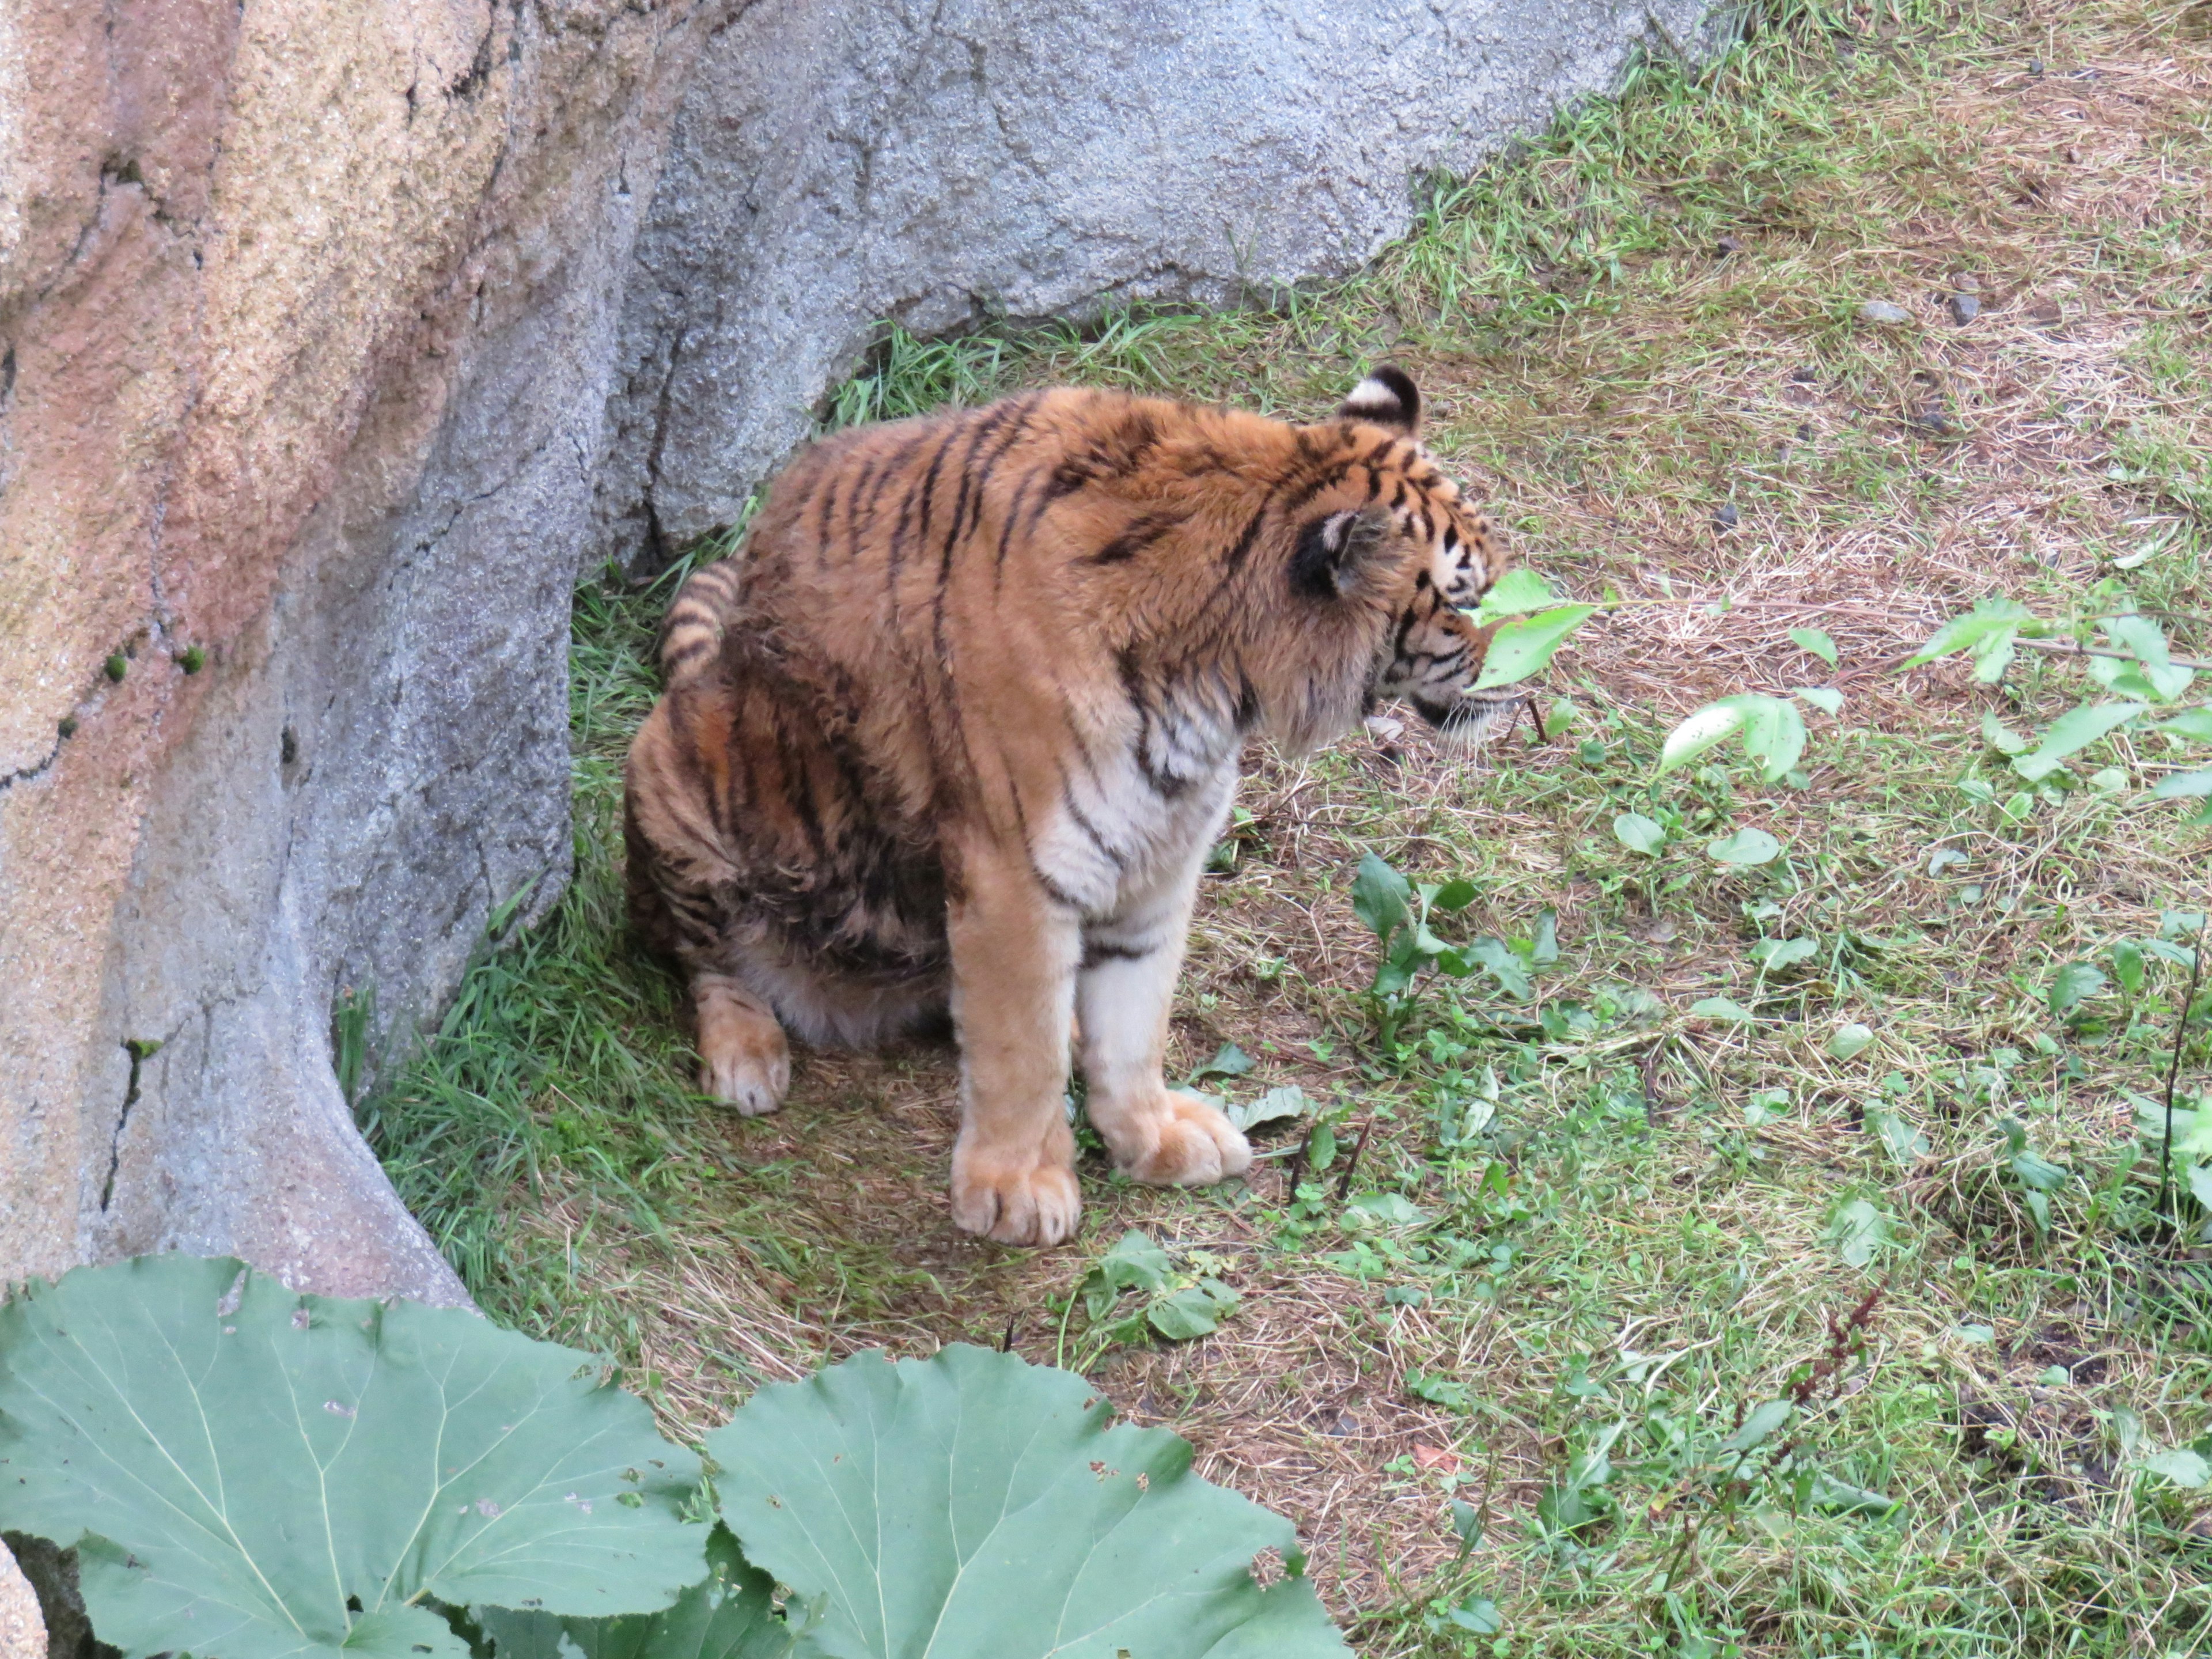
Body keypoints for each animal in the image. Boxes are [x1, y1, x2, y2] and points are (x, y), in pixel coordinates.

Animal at [632, 362, 1513, 1247]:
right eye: (1464, 603)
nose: (1516, 658)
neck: (1222, 681)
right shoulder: (1017, 873)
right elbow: (1022, 1050)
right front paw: (1017, 1193)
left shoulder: (1162, 855)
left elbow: (1136, 1024)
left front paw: (1153, 1140)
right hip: (672, 774)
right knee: (704, 959)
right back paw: (747, 1055)